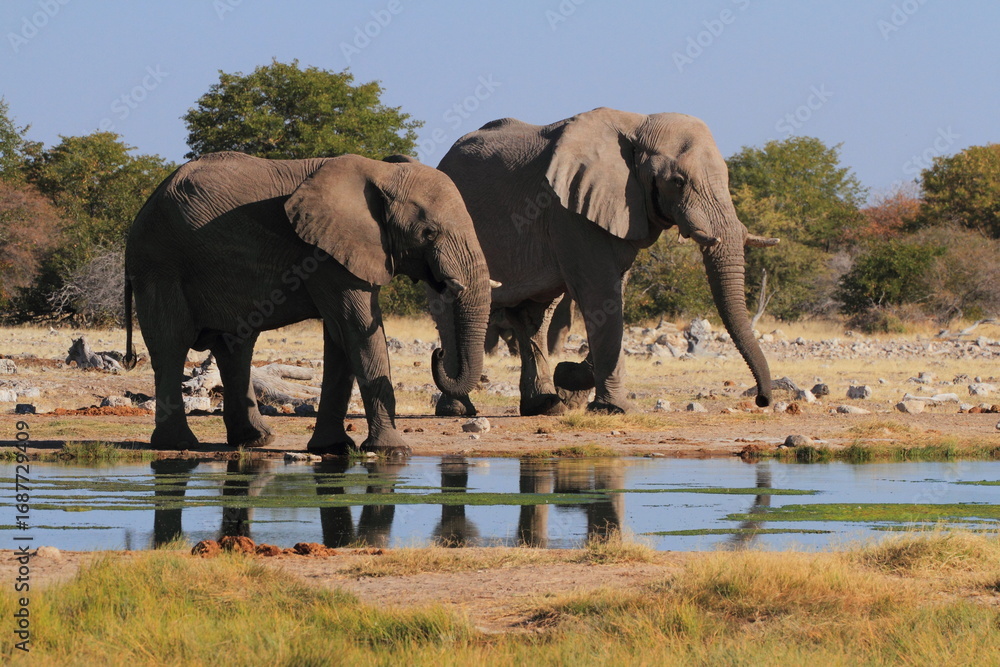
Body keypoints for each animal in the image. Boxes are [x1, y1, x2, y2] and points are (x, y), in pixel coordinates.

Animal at [124, 151, 490, 456]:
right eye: (429, 233)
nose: (438, 352)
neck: (380, 172)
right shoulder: (324, 255)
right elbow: (356, 330)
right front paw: (393, 451)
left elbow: (341, 338)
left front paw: (334, 448)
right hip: (160, 265)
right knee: (172, 344)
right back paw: (178, 444)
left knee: (235, 347)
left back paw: (257, 440)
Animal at [429, 107, 777, 416]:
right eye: (677, 181)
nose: (762, 400)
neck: (638, 124)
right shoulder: (569, 211)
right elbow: (600, 293)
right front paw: (615, 407)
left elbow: (612, 296)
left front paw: (571, 378)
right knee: (451, 306)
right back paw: (457, 409)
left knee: (534, 315)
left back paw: (545, 406)